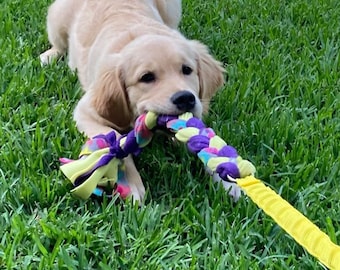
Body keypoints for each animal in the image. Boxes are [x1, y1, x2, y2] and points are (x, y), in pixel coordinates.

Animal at [40, 0, 226, 201]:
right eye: (147, 77)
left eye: (187, 70)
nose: (185, 98)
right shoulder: (85, 111)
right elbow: (115, 139)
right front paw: (130, 183)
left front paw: (227, 179)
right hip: (57, 19)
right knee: (59, 45)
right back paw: (49, 56)